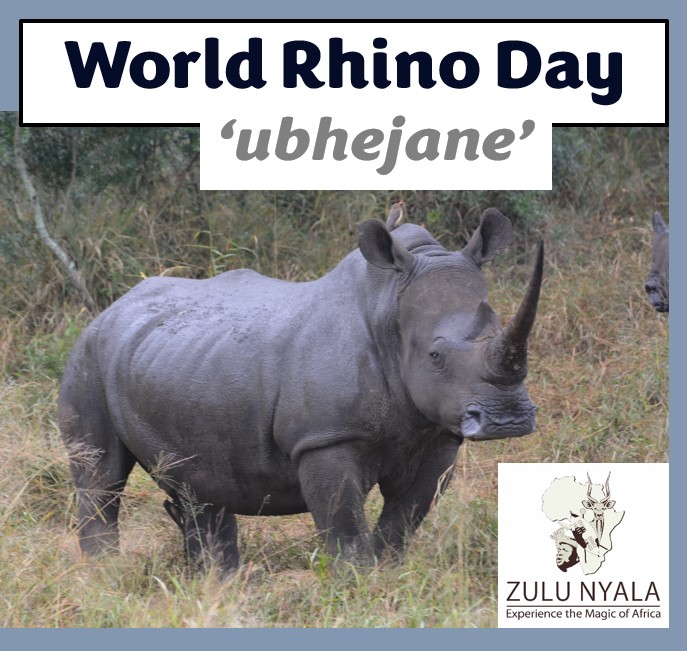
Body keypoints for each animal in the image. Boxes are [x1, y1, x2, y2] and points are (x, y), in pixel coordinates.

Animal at [58, 205, 543, 573]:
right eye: (435, 356)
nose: (508, 420)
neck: (389, 308)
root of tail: (112, 307)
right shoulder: (324, 438)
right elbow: (343, 524)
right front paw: (357, 587)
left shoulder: (439, 432)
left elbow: (403, 520)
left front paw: (388, 577)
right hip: (89, 356)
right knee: (101, 477)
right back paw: (106, 576)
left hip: (174, 363)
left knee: (200, 484)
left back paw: (216, 583)